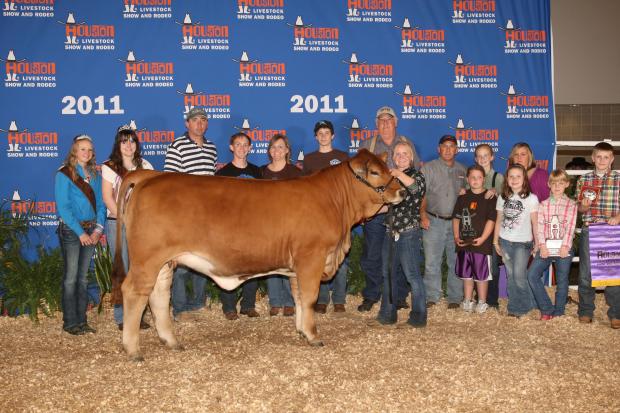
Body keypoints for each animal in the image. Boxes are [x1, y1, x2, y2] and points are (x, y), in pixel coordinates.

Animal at [111, 149, 404, 360]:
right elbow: (310, 298)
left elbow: (299, 297)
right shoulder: (311, 257)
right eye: (375, 172)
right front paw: (313, 336)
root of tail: (151, 176)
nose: (401, 190)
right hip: (147, 259)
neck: (335, 201)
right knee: (135, 293)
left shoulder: (297, 265)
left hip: (163, 263)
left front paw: (301, 330)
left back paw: (171, 341)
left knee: (159, 296)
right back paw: (133, 349)